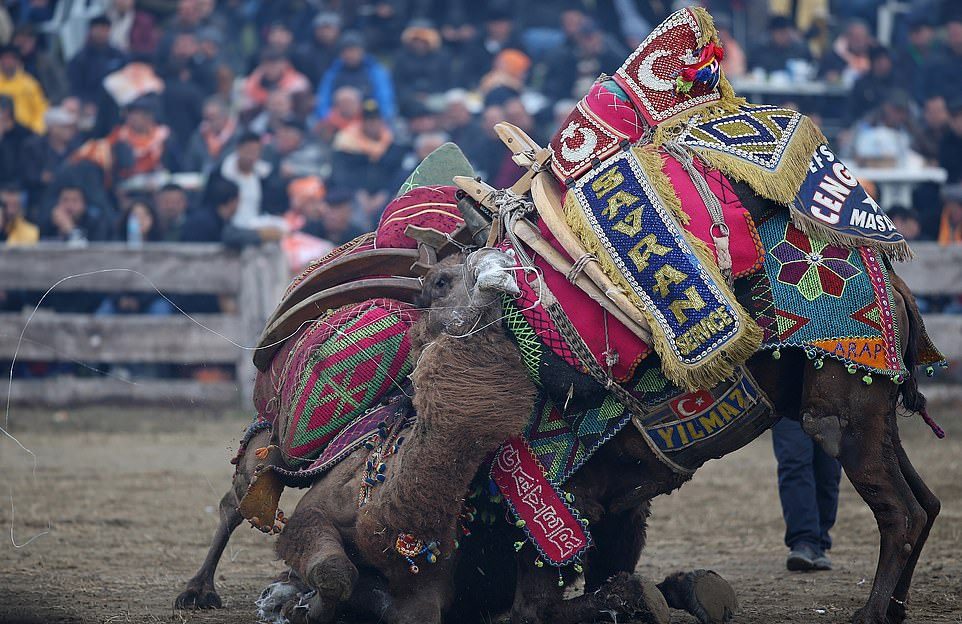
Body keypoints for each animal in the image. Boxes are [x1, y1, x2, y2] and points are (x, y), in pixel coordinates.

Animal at [174, 185, 936, 624]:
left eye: (443, 283)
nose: (416, 347)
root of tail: (895, 288)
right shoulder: (589, 502)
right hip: (871, 414)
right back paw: (199, 589)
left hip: (849, 408)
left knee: (903, 509)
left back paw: (875, 613)